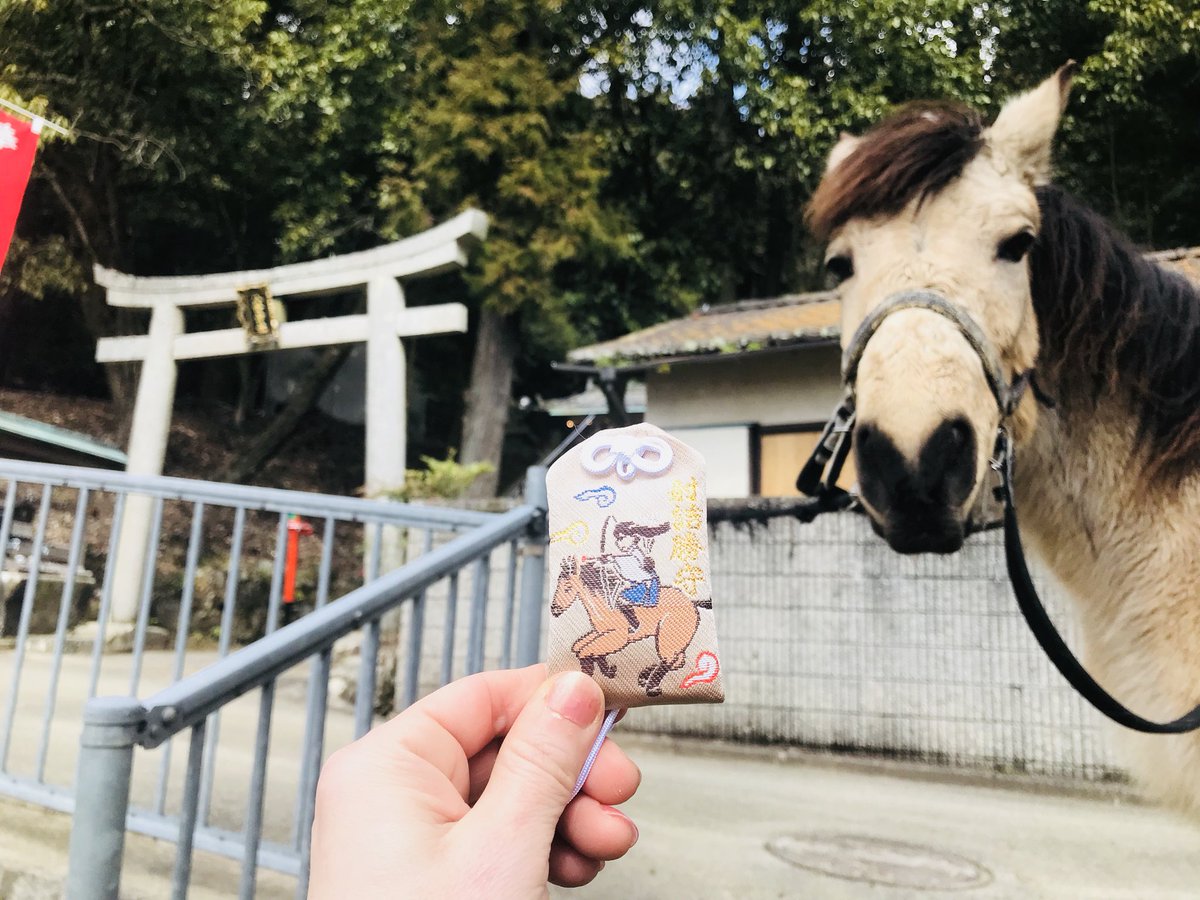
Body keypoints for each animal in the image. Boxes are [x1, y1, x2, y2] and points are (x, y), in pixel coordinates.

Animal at [550, 557, 704, 697]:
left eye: (567, 588)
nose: (554, 610)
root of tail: (692, 602)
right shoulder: (599, 633)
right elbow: (580, 647)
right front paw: (609, 671)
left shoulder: (618, 637)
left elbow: (585, 651)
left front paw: (588, 677)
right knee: (678, 660)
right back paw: (644, 676)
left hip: (669, 637)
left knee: (670, 660)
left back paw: (651, 687)